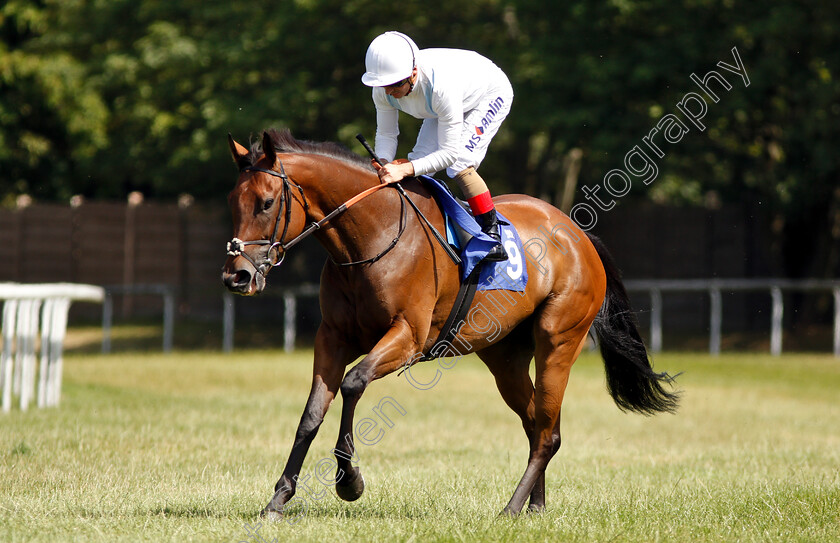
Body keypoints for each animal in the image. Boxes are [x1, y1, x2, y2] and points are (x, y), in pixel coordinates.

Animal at [221, 130, 676, 520]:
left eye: (266, 203)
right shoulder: (332, 338)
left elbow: (352, 384)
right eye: (233, 202)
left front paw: (349, 481)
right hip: (505, 358)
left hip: (559, 342)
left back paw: (511, 508)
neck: (369, 237)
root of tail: (579, 235)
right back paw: (536, 506)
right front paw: (278, 499)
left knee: (548, 433)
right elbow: (312, 413)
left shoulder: (407, 337)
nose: (236, 276)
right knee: (538, 425)